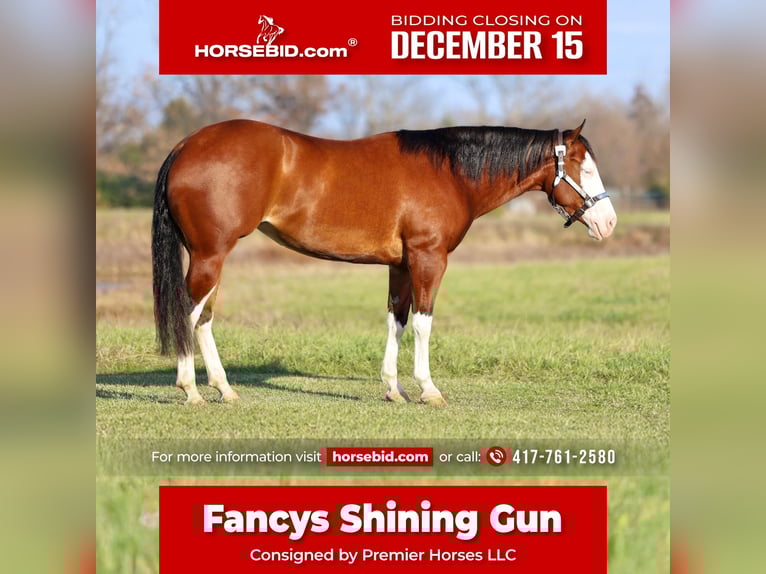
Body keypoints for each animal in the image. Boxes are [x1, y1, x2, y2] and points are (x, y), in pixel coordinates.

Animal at [151, 120, 616, 406]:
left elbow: (398, 319)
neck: (448, 172)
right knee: (187, 314)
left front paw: (394, 389)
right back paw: (191, 390)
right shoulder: (429, 258)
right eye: (583, 167)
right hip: (211, 255)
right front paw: (428, 389)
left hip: (212, 257)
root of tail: (185, 145)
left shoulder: (401, 265)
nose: (608, 223)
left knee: (203, 319)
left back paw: (224, 390)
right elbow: (424, 322)